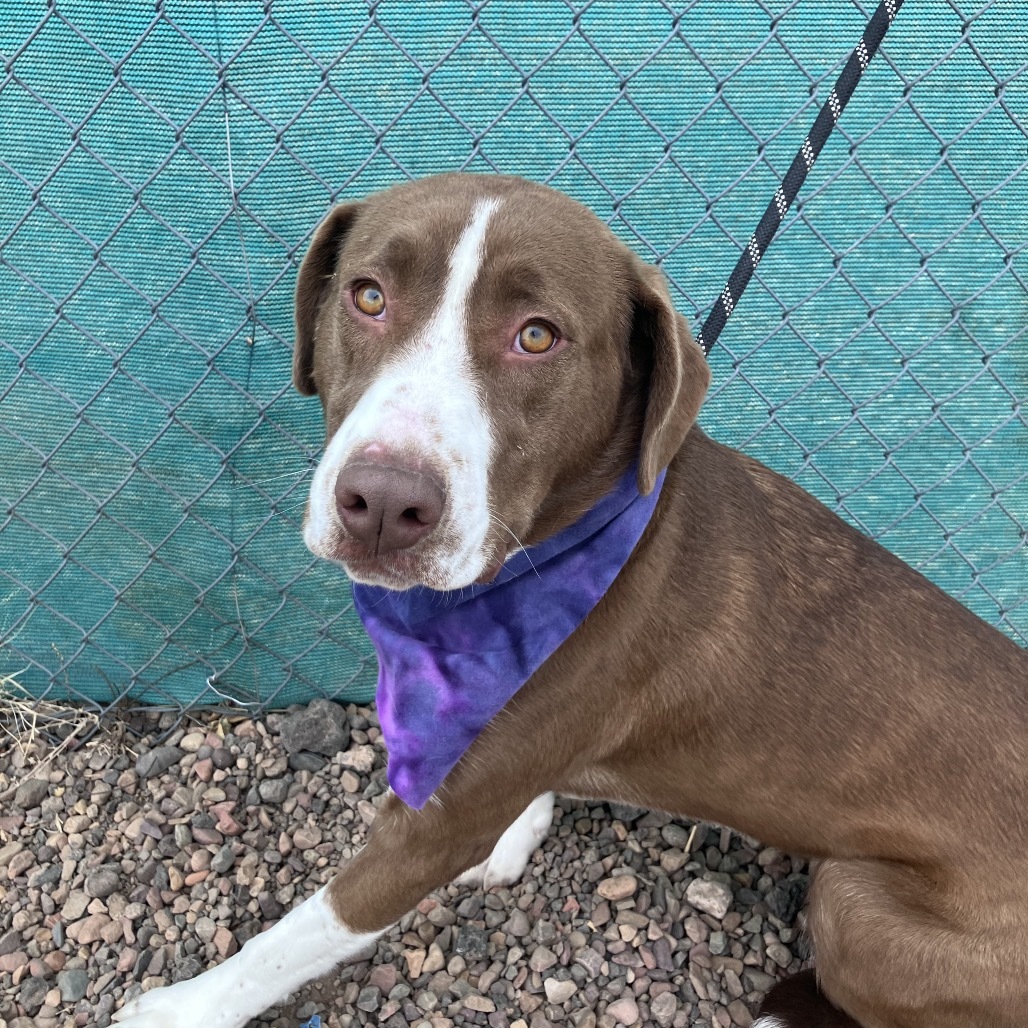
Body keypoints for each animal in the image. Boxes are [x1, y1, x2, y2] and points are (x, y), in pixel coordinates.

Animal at [114, 176, 1028, 1028]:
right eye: (368, 295)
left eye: (538, 335)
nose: (382, 503)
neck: (542, 553)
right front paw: (522, 831)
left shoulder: (435, 825)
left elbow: (305, 932)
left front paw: (185, 1007)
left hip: (857, 907)